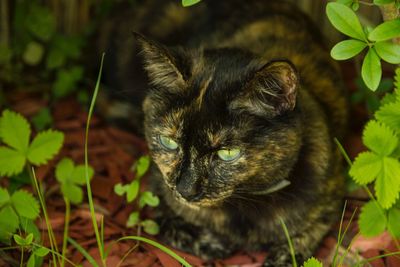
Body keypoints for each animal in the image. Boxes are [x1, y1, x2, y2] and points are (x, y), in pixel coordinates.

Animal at [98, 0, 348, 266]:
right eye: (168, 142)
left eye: (227, 153)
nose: (185, 190)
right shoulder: (158, 188)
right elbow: (166, 222)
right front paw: (212, 243)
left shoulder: (330, 195)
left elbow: (308, 232)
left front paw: (282, 256)